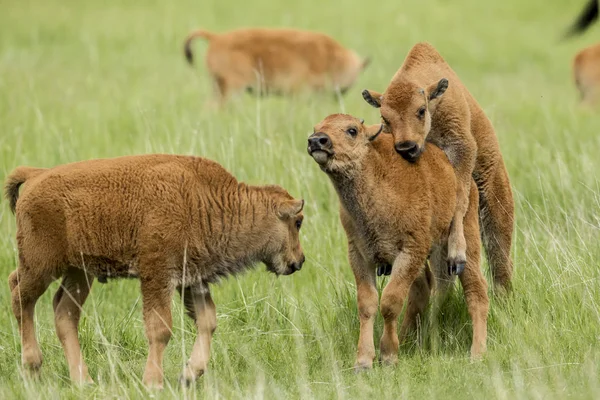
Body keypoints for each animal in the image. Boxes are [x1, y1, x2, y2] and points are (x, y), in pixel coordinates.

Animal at [4, 155, 304, 390]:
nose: (298, 262)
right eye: (298, 222)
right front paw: (153, 383)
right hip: (41, 266)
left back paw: (83, 380)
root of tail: (36, 175)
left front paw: (188, 375)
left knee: (64, 313)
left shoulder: (192, 279)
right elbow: (160, 328)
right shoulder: (157, 275)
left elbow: (207, 321)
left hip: (79, 273)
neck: (205, 200)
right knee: (20, 296)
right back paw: (32, 367)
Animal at [183, 28, 370, 106]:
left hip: (218, 86)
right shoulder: (299, 91)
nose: (340, 94)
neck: (330, 56)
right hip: (232, 88)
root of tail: (216, 37)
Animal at [308, 114, 490, 368]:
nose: (317, 140)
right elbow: (367, 304)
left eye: (352, 130)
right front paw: (363, 361)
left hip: (466, 245)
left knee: (476, 291)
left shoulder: (410, 251)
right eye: (316, 127)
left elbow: (390, 301)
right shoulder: (359, 254)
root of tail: (467, 181)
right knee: (422, 290)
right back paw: (406, 340)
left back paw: (477, 354)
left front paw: (388, 356)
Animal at [360, 42, 516, 294]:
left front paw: (457, 255)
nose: (406, 147)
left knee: (499, 251)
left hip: (495, 199)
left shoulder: (461, 149)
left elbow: (459, 200)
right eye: (385, 118)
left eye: (420, 110)